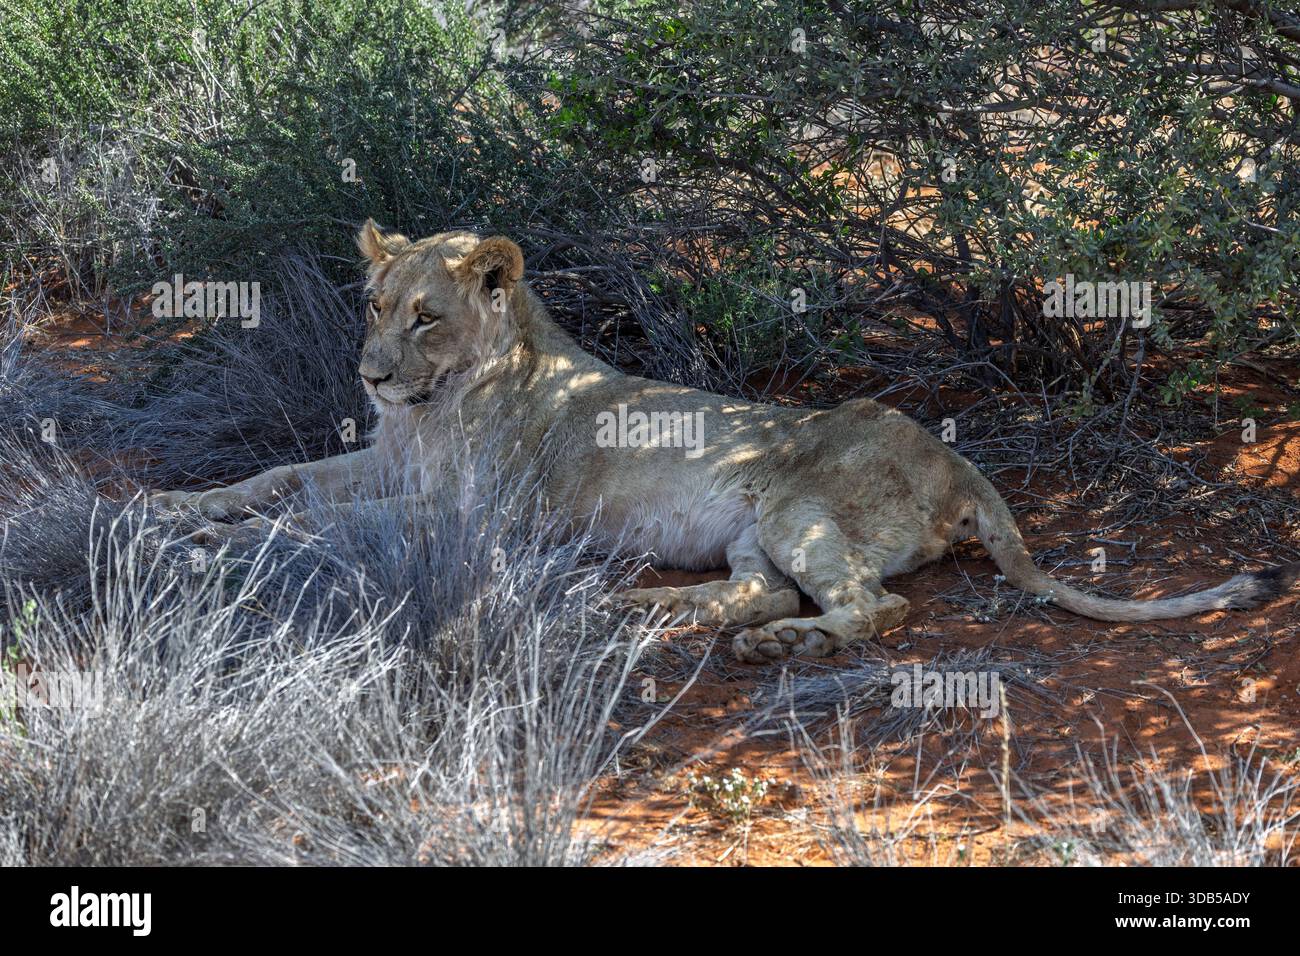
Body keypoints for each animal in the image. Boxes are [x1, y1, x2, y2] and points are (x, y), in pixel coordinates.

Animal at [151, 221, 1300, 663]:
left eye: (427, 316)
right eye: (375, 306)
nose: (371, 374)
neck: (432, 409)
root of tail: (961, 461)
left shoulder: (470, 507)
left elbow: (319, 519)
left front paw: (216, 544)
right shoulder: (383, 460)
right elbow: (282, 472)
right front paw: (179, 505)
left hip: (796, 504)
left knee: (866, 609)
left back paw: (770, 646)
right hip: (754, 532)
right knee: (757, 593)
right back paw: (627, 607)